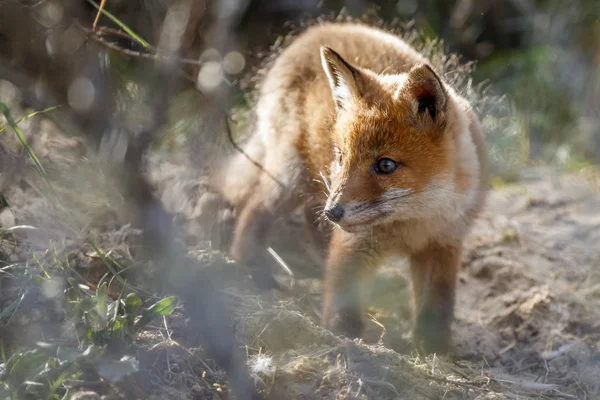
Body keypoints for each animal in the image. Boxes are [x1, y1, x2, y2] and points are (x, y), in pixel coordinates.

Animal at [216, 21, 488, 354]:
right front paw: (347, 340)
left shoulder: (444, 244)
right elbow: (343, 294)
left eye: (386, 165)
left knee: (309, 224)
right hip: (291, 177)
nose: (333, 212)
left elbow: (436, 307)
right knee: (254, 212)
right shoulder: (354, 243)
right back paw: (251, 269)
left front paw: (434, 349)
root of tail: (320, 28)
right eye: (342, 157)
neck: (415, 222)